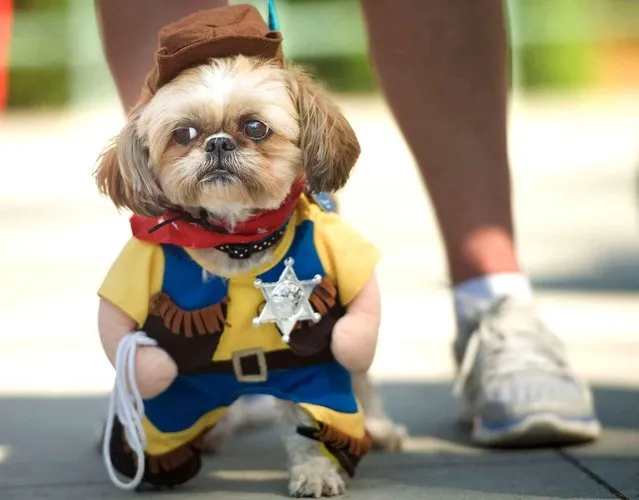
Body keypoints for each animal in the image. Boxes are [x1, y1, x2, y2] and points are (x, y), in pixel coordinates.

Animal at [95, 5, 404, 498]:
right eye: (184, 133)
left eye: (255, 127)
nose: (218, 142)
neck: (236, 243)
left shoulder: (310, 360)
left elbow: (312, 422)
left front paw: (316, 471)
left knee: (359, 370)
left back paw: (376, 424)